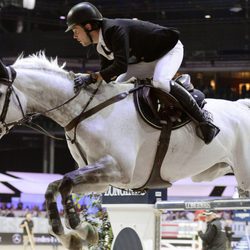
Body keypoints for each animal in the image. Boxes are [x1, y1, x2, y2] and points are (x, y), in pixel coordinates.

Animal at [0, 52, 250, 248]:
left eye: (1, 94)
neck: (85, 111)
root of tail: (242, 105)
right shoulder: (100, 179)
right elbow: (55, 186)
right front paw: (71, 236)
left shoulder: (118, 170)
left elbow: (65, 182)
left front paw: (83, 231)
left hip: (244, 176)